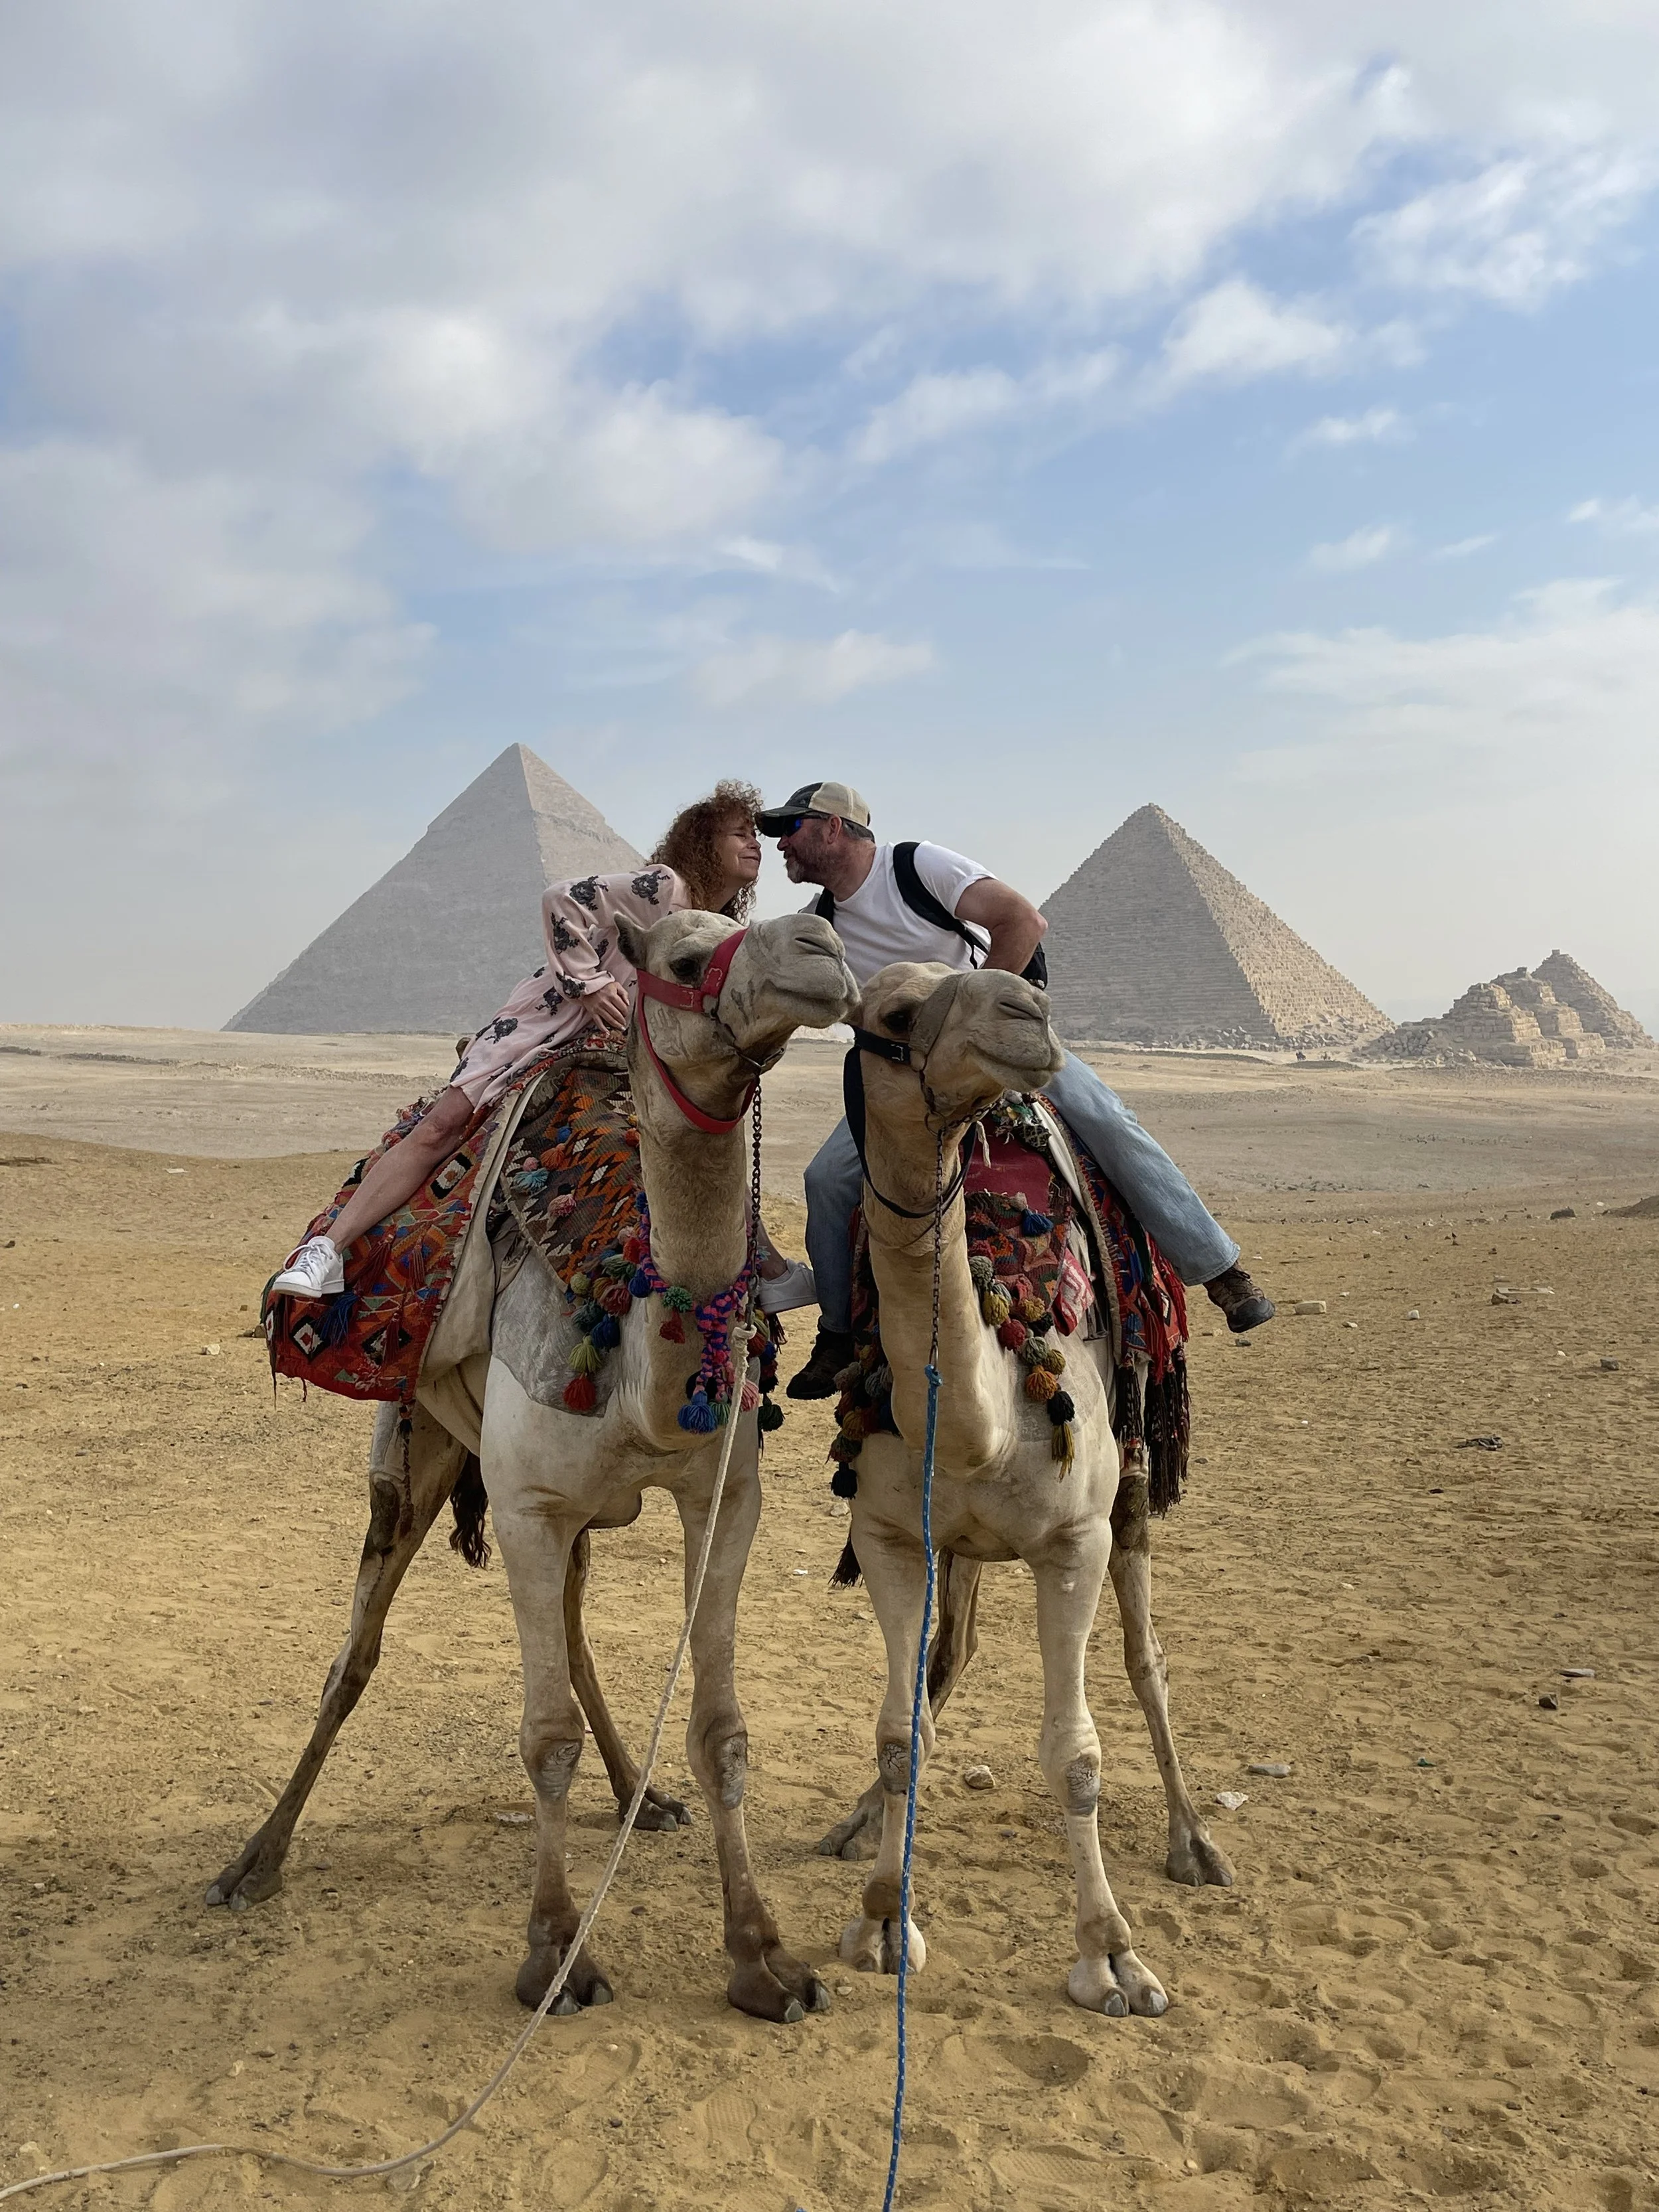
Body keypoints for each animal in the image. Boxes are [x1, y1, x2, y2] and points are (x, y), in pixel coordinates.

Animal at [208, 907, 859, 2024]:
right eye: (686, 958)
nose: (823, 945)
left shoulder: (722, 1497)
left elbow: (722, 1730)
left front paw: (765, 1960)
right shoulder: (523, 1504)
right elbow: (543, 1736)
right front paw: (556, 1952)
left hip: (579, 1512)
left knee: (576, 1630)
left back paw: (643, 1797)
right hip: (419, 1454)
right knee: (355, 1653)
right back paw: (256, 1861)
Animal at [828, 961, 1231, 2019]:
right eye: (893, 1012)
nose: (1029, 1009)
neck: (992, 1414)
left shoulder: (1073, 1541)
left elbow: (1076, 1753)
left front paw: (1113, 1956)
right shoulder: (892, 1535)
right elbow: (900, 1732)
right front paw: (882, 1920)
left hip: (1130, 1481)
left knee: (1146, 1659)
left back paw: (1192, 1840)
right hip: (963, 1546)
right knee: (950, 1659)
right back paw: (856, 1823)